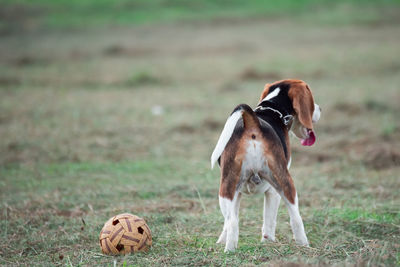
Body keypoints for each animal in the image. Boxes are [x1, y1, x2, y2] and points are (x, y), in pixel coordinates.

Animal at [211, 79, 320, 253]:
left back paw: (230, 249)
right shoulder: (272, 192)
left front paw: (221, 241)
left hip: (227, 188)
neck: (272, 110)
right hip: (282, 181)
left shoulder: (237, 192)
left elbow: (228, 223)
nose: (320, 108)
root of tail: (252, 123)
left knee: (232, 221)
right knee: (295, 218)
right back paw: (302, 244)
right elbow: (270, 219)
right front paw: (268, 242)